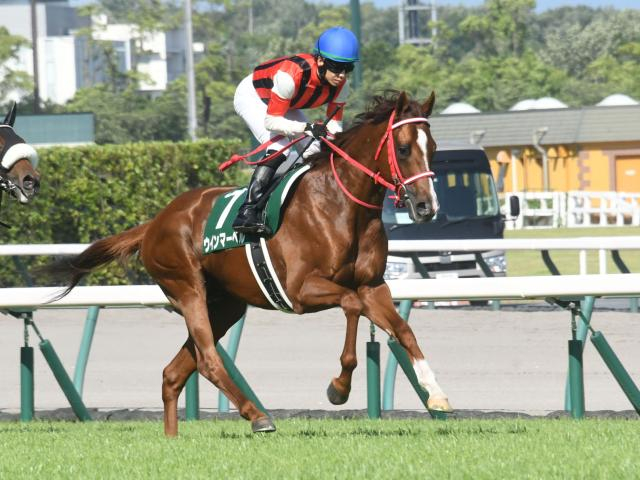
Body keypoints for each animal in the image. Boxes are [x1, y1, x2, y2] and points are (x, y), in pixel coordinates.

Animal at [46, 90, 450, 436]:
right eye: (403, 148)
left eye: (433, 148)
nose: (426, 206)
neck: (341, 206)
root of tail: (154, 223)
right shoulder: (300, 291)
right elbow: (351, 305)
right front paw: (339, 387)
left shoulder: (373, 285)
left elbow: (402, 329)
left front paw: (436, 393)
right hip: (187, 289)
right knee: (208, 360)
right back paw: (258, 416)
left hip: (225, 305)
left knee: (174, 372)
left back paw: (173, 437)